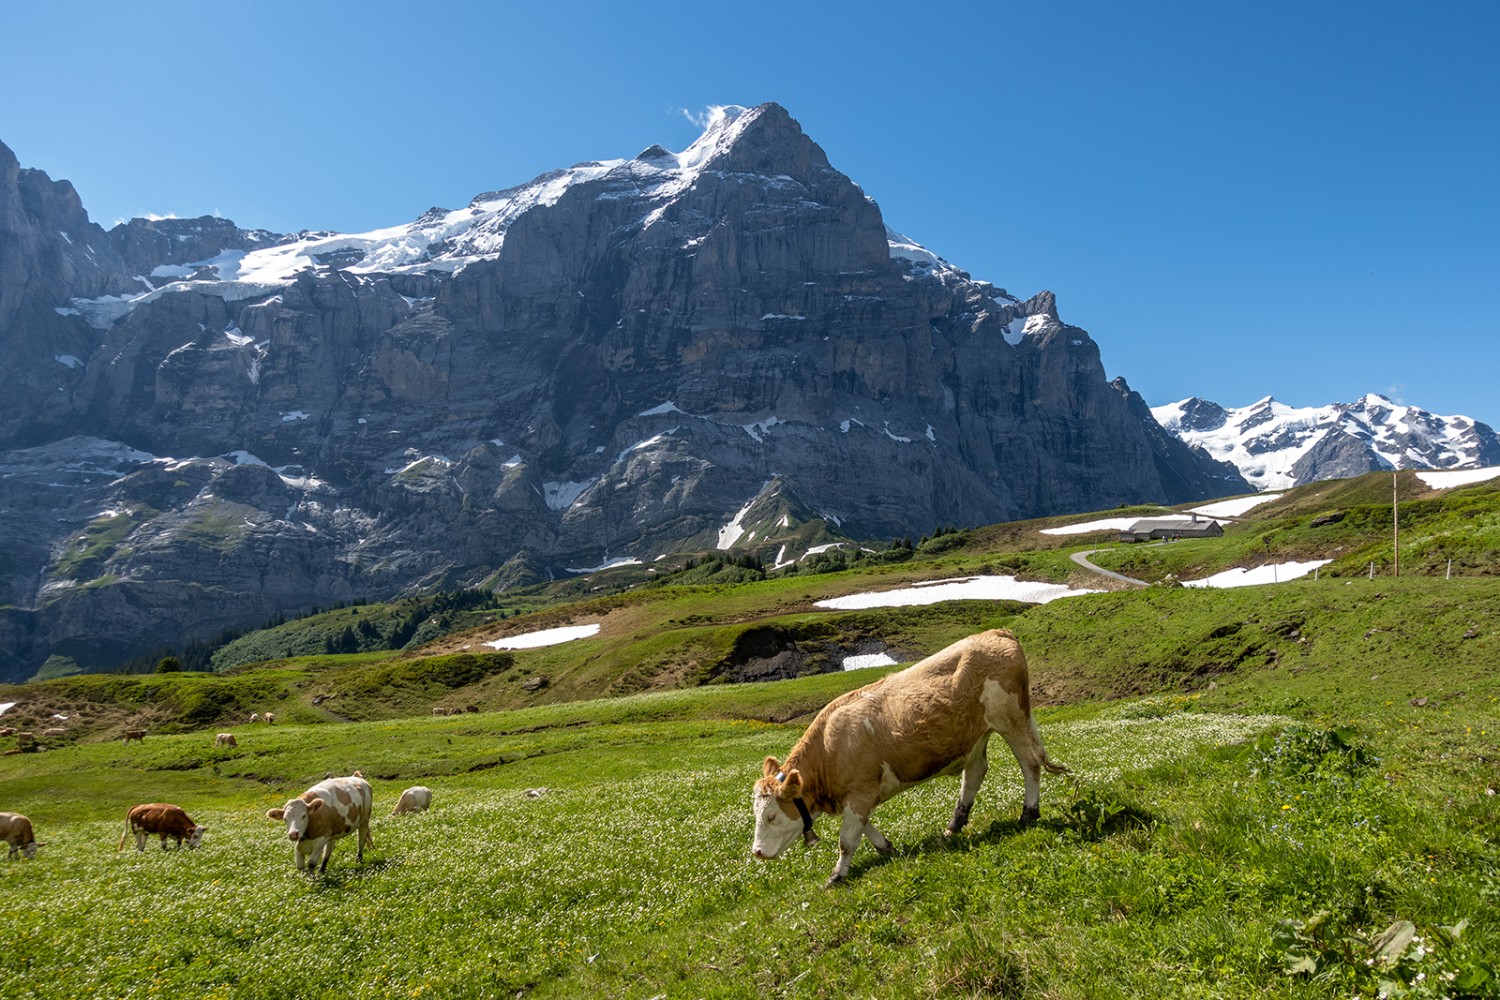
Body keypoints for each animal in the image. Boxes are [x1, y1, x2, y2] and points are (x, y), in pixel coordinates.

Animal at [750, 629, 1068, 887]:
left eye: (771, 815)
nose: (757, 852)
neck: (828, 749)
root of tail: (995, 633)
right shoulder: (853, 797)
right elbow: (865, 828)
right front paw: (887, 848)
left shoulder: (860, 791)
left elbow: (847, 840)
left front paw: (837, 876)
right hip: (977, 737)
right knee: (974, 775)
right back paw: (953, 828)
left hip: (1010, 717)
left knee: (1030, 763)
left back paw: (1028, 814)